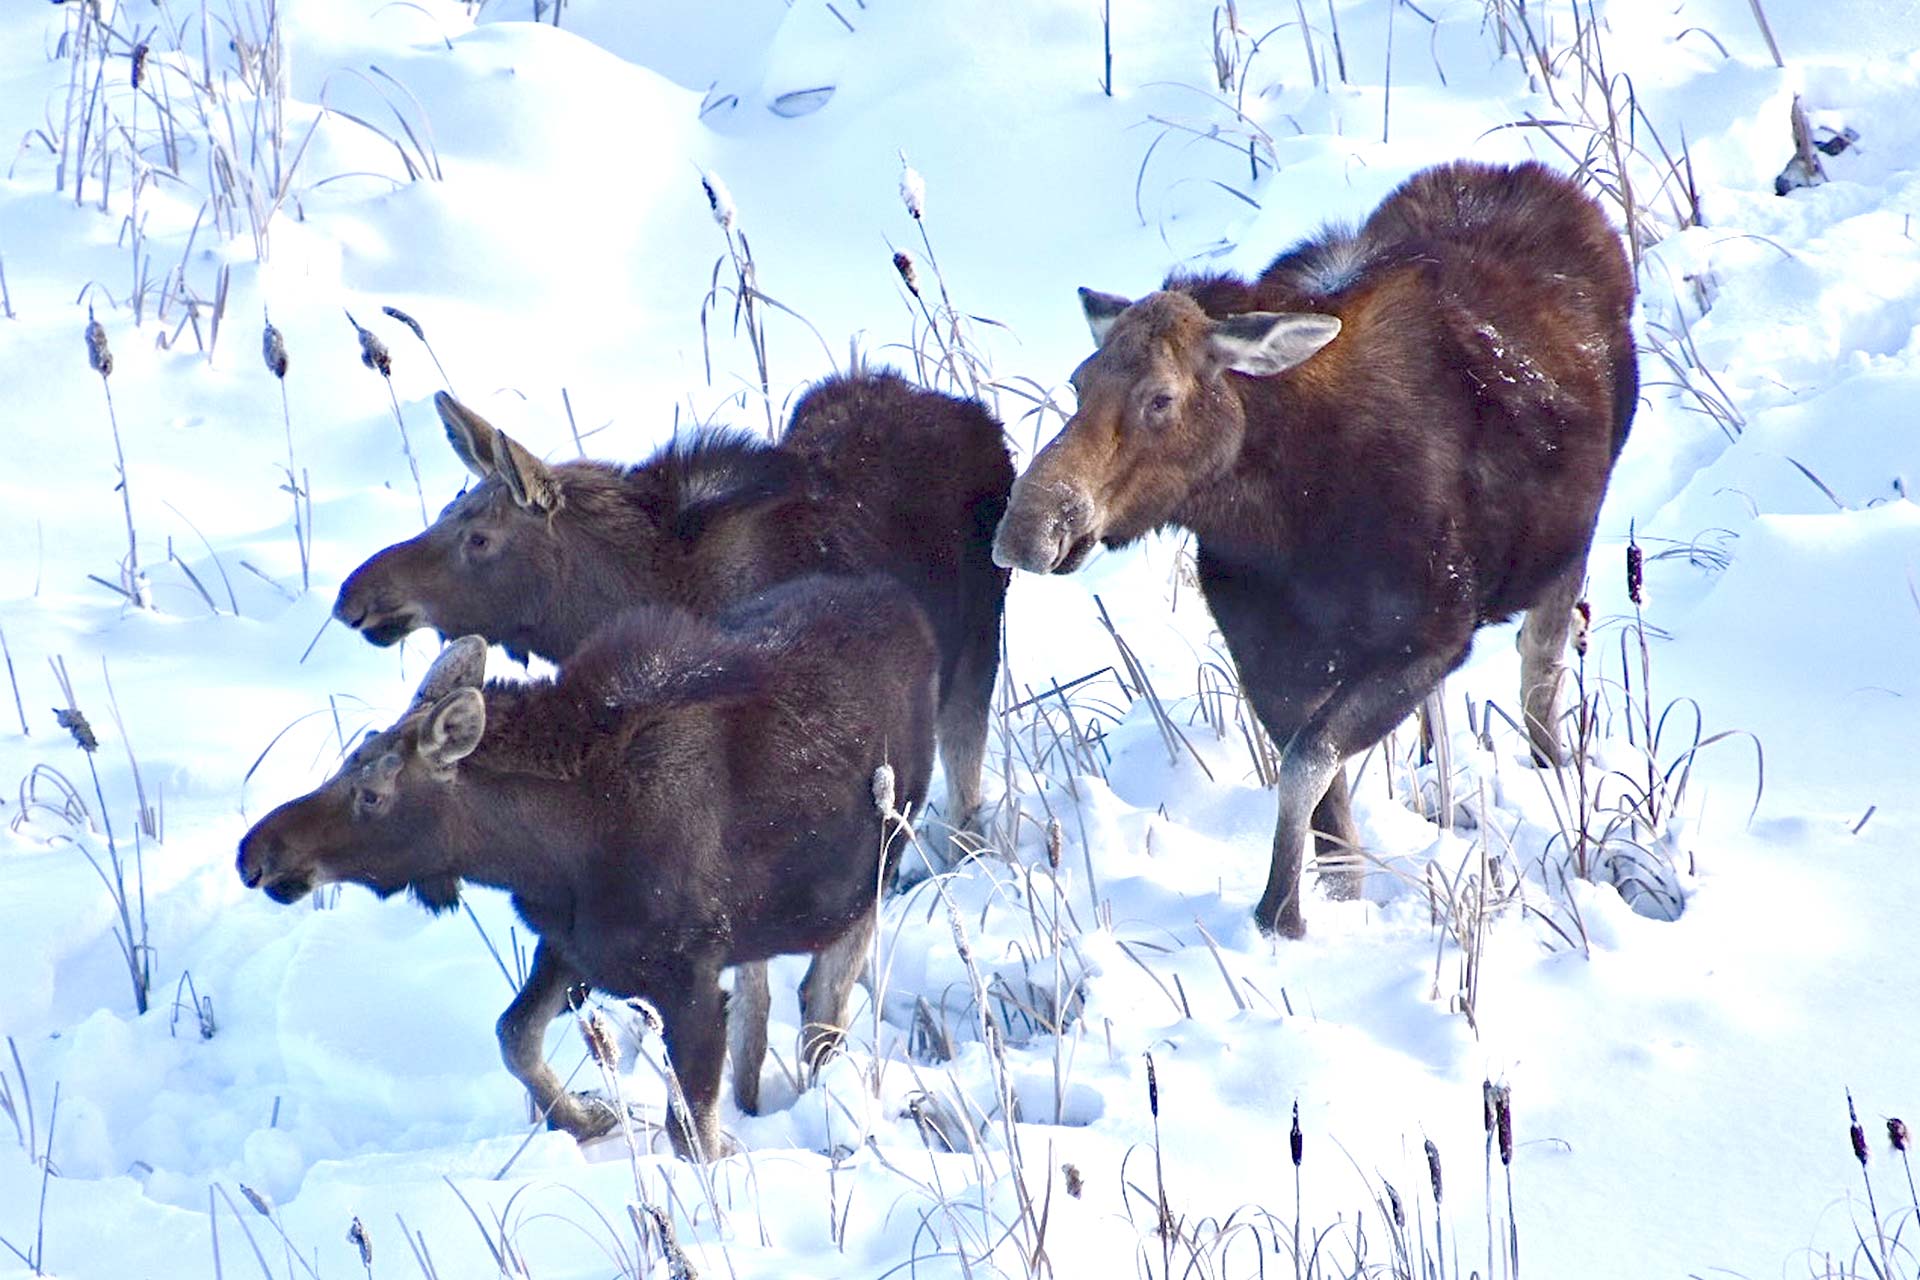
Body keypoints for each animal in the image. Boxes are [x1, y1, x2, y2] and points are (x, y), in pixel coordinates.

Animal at [238, 574, 938, 1161]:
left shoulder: (687, 979)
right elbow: (514, 1035)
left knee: (822, 1007)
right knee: (762, 1004)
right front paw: (585, 1117)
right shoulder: (570, 948)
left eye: (373, 794)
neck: (552, 854)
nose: (255, 855)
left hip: (869, 878)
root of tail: (907, 606)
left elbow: (692, 1135)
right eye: (352, 756)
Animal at [991, 160, 1638, 939]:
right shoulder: (1268, 658)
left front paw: (1281, 910)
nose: (1028, 529)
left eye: (1161, 397)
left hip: (1569, 545)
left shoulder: (1433, 634)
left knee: (1541, 672)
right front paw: (1328, 898)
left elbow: (1308, 763)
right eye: (1079, 381)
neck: (1291, 523)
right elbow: (1321, 792)